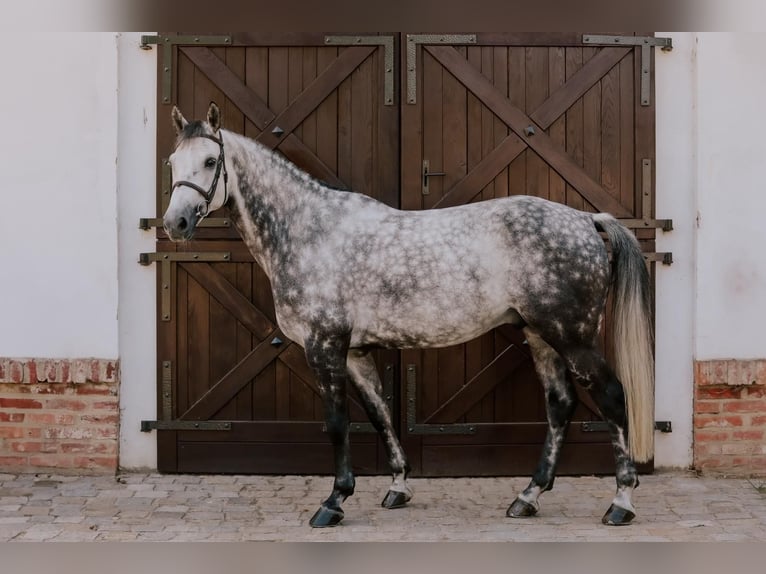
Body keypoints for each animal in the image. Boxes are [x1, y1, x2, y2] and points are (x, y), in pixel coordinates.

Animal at [162, 104, 656, 532]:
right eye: (171, 162)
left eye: (210, 160)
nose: (175, 223)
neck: (311, 232)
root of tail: (586, 219)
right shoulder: (356, 352)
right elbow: (380, 413)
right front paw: (398, 487)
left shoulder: (325, 346)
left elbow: (338, 423)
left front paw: (333, 503)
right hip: (541, 337)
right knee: (560, 405)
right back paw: (528, 497)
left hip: (574, 338)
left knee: (613, 397)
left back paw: (621, 503)